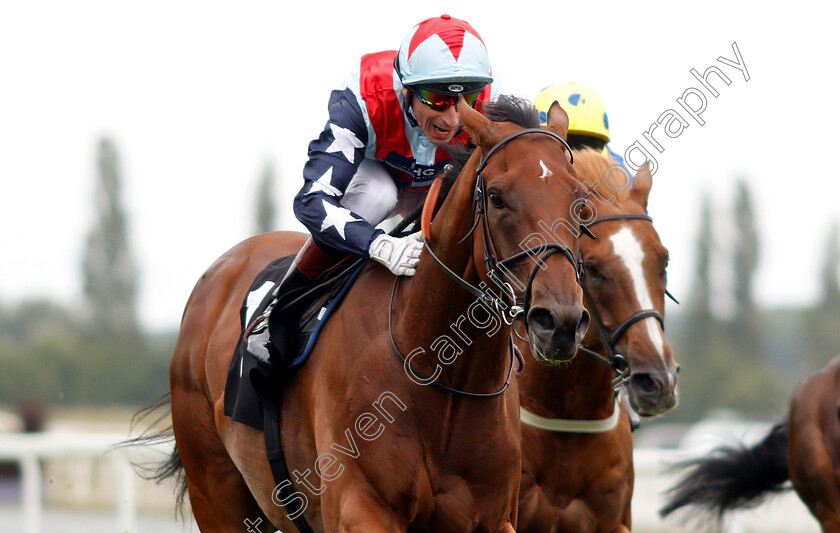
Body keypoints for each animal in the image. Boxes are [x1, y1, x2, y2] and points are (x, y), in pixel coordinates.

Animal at [167, 98, 592, 532]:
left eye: (580, 199)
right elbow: (316, 196)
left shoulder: (496, 517)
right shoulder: (361, 507)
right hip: (215, 491)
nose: (560, 321)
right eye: (496, 197)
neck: (441, 373)